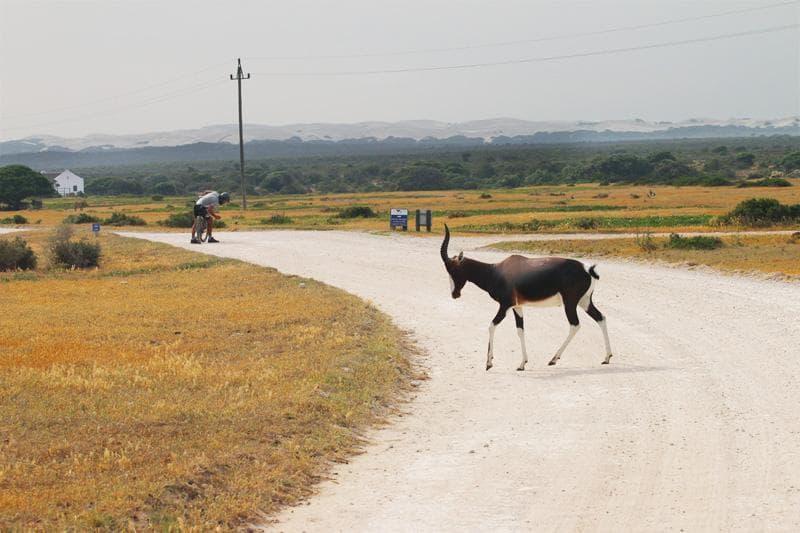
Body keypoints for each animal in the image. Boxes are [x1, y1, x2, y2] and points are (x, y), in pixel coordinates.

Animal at [444, 224, 612, 370]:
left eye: (454, 270)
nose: (454, 294)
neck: (496, 271)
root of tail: (588, 270)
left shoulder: (505, 305)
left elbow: (491, 326)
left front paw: (489, 363)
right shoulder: (517, 306)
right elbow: (520, 330)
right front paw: (522, 364)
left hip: (570, 303)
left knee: (575, 325)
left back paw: (553, 359)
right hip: (584, 301)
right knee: (601, 318)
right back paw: (606, 357)